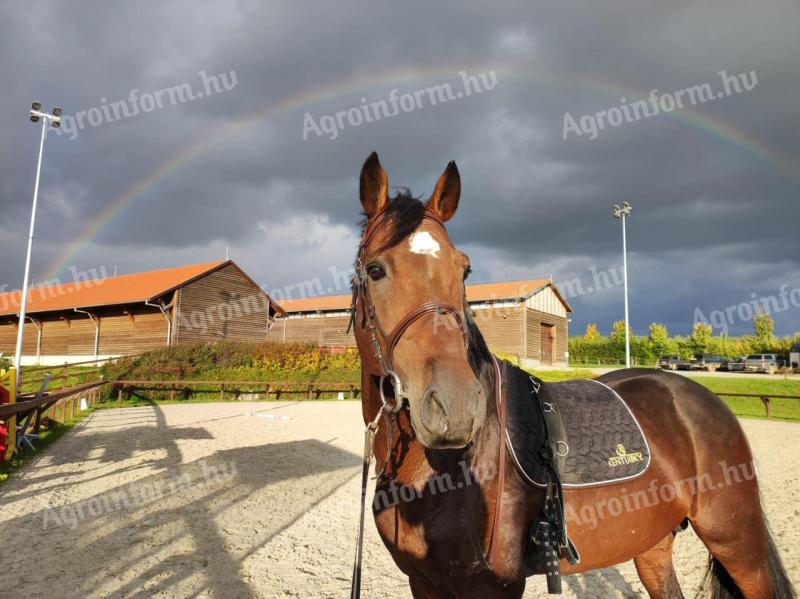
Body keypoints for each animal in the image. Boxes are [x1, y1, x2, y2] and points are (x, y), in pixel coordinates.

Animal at [350, 152, 792, 596]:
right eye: (375, 270)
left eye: (465, 270)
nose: (454, 408)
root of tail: (702, 398)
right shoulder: (422, 581)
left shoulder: (496, 586)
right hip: (652, 543)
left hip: (736, 543)